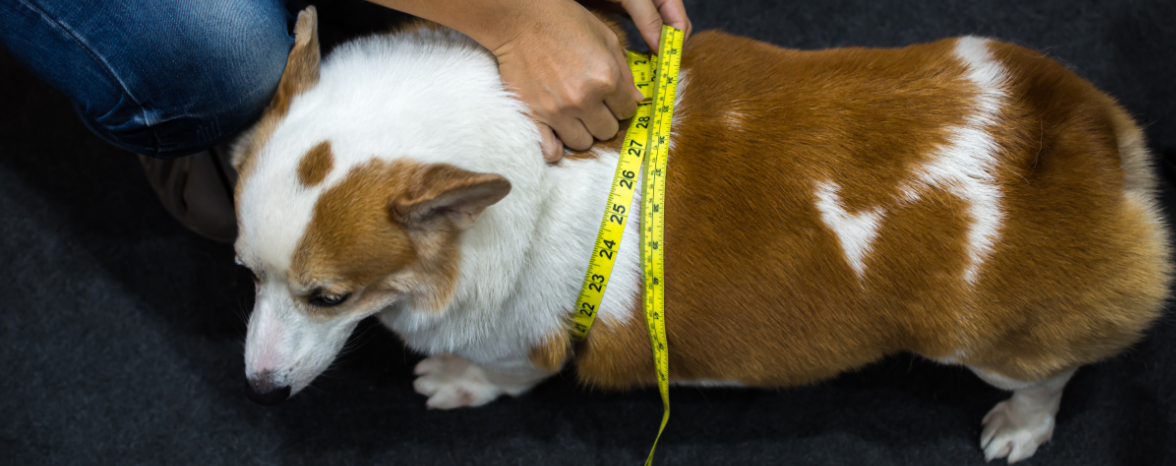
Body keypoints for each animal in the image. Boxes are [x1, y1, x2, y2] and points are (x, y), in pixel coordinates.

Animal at [234, 7, 1171, 461]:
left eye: (329, 297)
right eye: (246, 272)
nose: (259, 393)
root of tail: (1082, 137)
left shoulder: (524, 344)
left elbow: (503, 376)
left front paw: (454, 382)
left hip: (986, 347)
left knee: (1053, 372)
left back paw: (1020, 425)